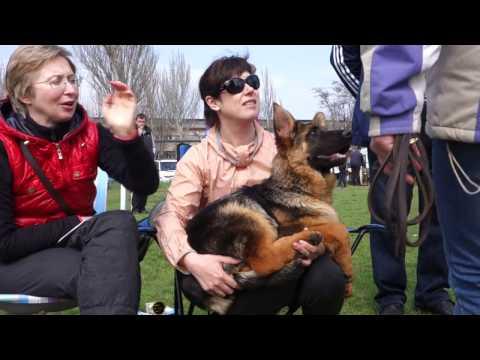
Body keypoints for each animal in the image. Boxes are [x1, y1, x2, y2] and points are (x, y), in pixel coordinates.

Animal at [184, 102, 352, 314]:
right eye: (313, 133)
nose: (349, 132)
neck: (295, 185)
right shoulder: (286, 227)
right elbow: (340, 229)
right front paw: (347, 270)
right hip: (246, 212)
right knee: (264, 259)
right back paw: (306, 237)